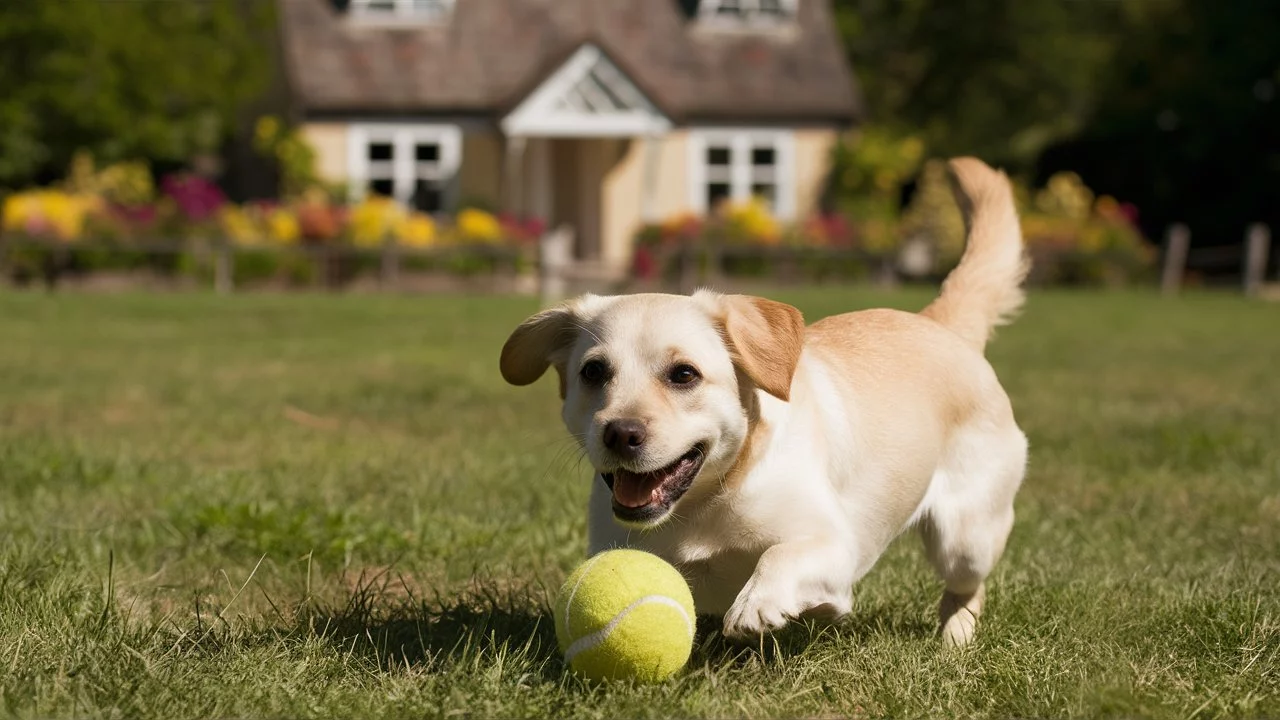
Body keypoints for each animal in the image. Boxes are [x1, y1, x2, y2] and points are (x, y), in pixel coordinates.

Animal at [499, 156, 1029, 645]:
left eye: (684, 374)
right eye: (593, 372)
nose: (620, 432)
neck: (703, 505)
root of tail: (938, 322)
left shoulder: (836, 545)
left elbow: (781, 554)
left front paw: (761, 602)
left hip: (966, 538)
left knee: (967, 586)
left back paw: (956, 636)